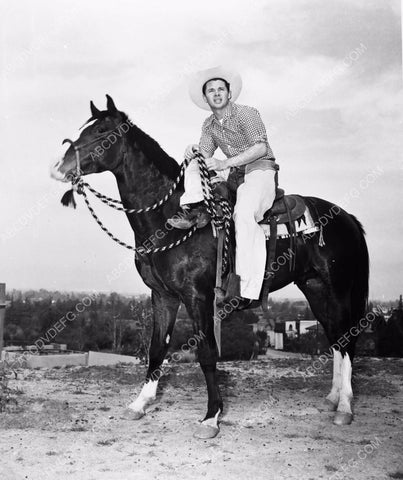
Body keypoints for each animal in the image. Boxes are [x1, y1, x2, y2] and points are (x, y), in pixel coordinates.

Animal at [51, 94, 370, 438]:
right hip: (316, 289)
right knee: (336, 338)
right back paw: (333, 398)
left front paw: (211, 417)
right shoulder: (163, 296)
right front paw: (140, 404)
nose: (59, 167)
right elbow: (156, 348)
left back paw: (345, 407)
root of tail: (347, 218)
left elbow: (206, 352)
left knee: (347, 339)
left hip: (338, 289)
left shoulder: (198, 297)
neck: (169, 220)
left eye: (102, 132)